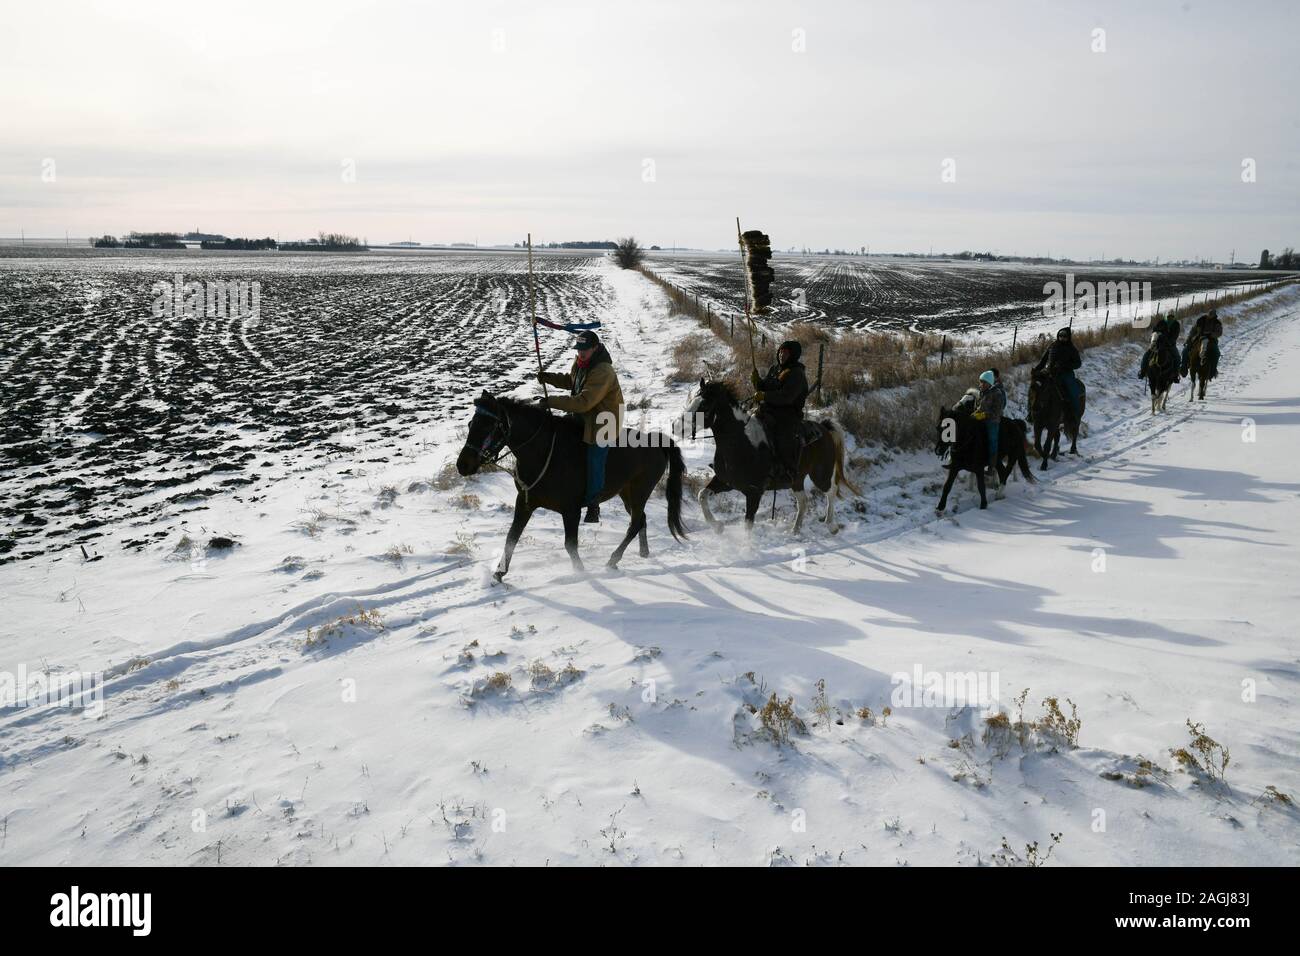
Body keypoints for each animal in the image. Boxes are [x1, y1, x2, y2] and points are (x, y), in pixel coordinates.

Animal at [452, 390, 686, 582]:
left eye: (489, 427)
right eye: (471, 424)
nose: (463, 465)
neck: (544, 453)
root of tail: (656, 441)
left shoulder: (571, 510)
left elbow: (570, 544)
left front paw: (580, 572)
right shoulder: (525, 503)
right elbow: (512, 537)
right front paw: (499, 573)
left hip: (640, 491)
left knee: (635, 523)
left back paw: (613, 559)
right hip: (626, 493)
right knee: (641, 519)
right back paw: (643, 552)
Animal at [691, 379, 863, 530]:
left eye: (704, 404)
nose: (685, 425)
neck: (741, 442)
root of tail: (824, 428)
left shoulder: (754, 493)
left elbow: (747, 526)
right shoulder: (725, 482)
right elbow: (702, 495)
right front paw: (717, 527)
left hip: (820, 475)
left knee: (831, 491)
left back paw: (831, 525)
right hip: (797, 480)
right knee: (803, 501)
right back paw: (795, 530)